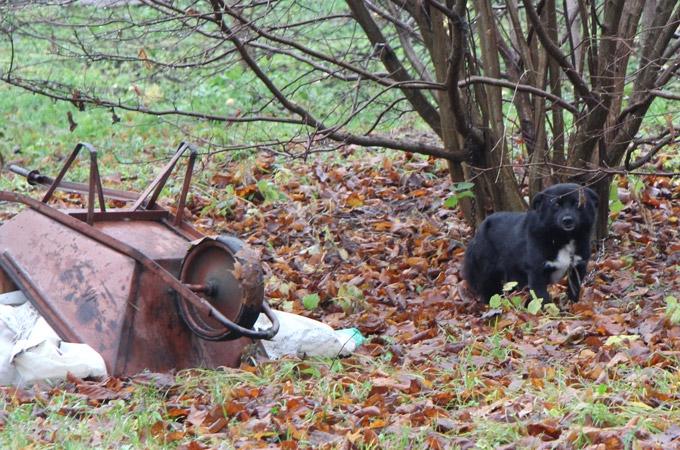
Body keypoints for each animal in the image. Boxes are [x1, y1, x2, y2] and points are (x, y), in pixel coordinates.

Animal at [464, 182, 596, 302]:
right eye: (556, 204)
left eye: (577, 203)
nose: (567, 220)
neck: (563, 238)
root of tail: (479, 230)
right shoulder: (537, 271)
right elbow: (542, 297)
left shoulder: (578, 266)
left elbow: (574, 290)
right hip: (489, 272)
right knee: (490, 292)